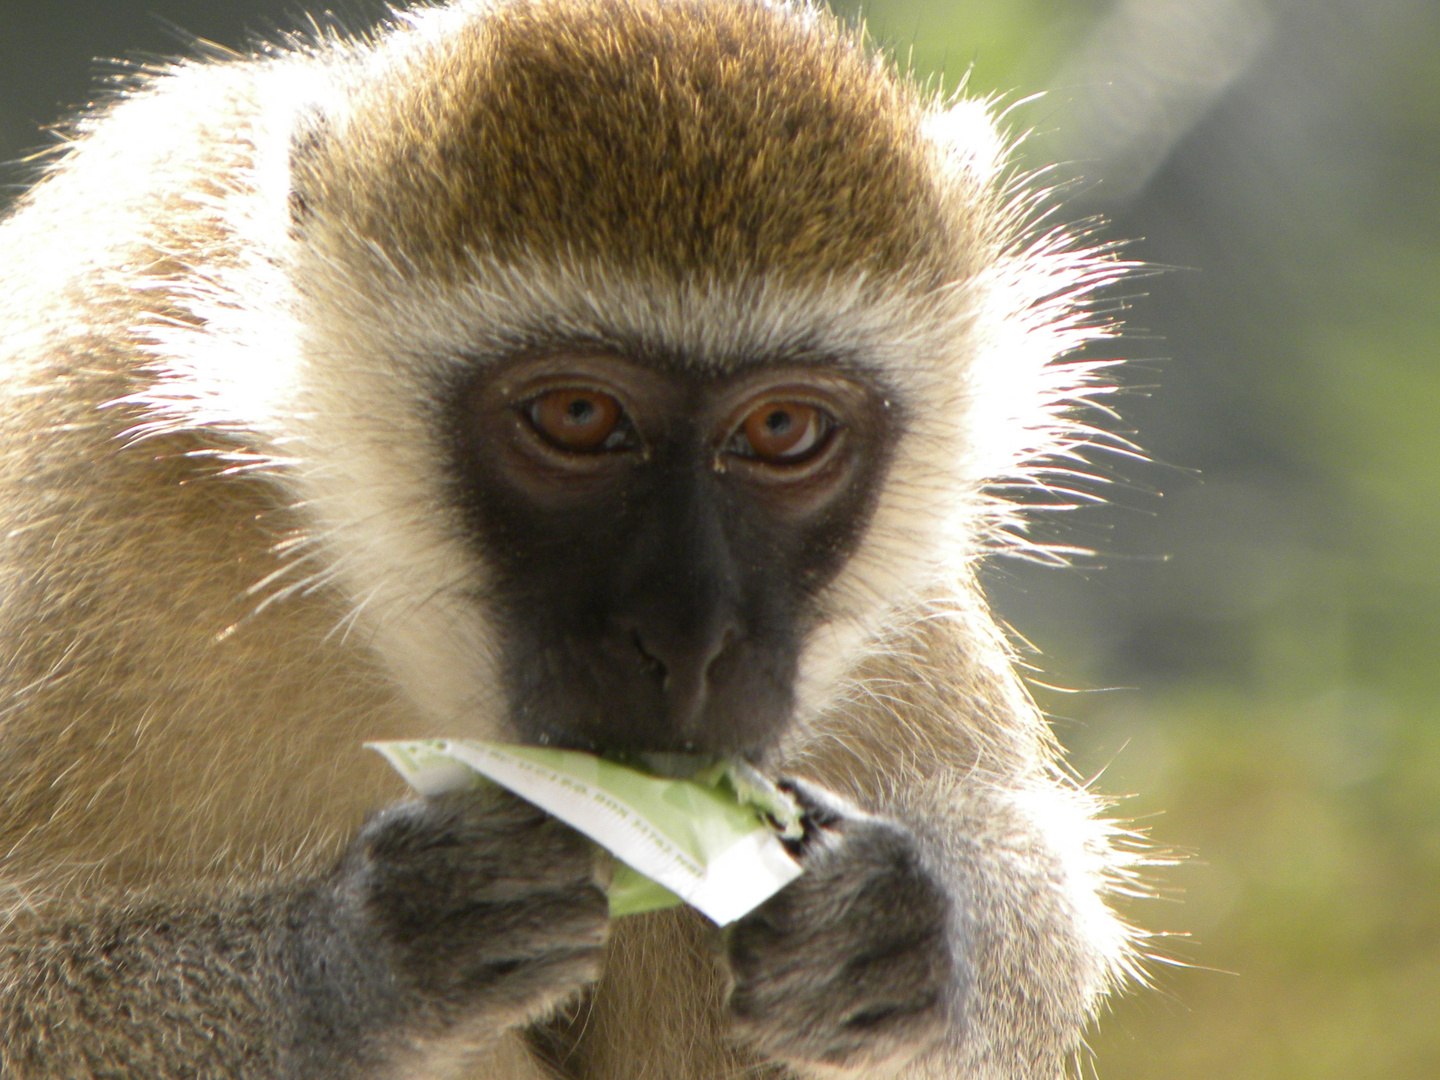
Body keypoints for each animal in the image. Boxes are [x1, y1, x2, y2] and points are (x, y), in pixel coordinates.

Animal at [0, 2, 1146, 1080]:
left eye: (783, 429)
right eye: (578, 418)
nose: (689, 640)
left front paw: (903, 929)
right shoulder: (88, 420)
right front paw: (354, 960)